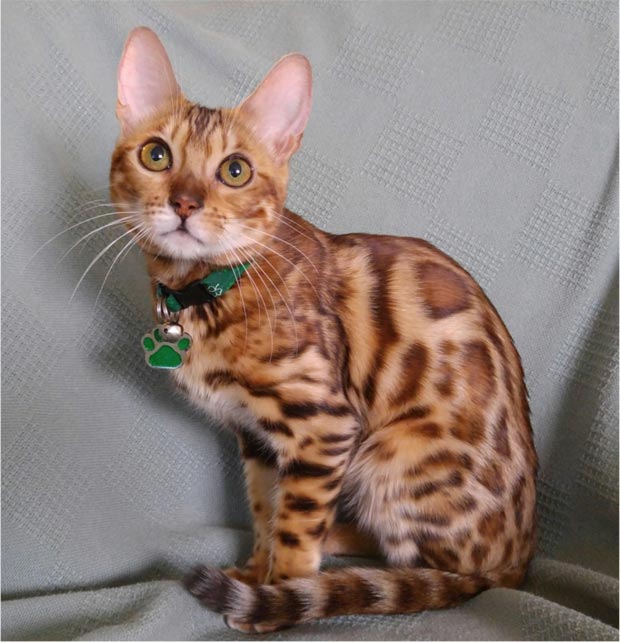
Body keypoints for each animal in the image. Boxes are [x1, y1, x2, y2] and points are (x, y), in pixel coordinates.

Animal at [109, 28, 536, 632]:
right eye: (156, 154)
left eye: (235, 170)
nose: (184, 203)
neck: (205, 293)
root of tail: (519, 563)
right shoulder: (258, 439)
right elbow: (266, 510)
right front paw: (255, 573)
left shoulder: (324, 424)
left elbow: (294, 525)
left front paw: (280, 597)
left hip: (389, 458)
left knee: (426, 570)